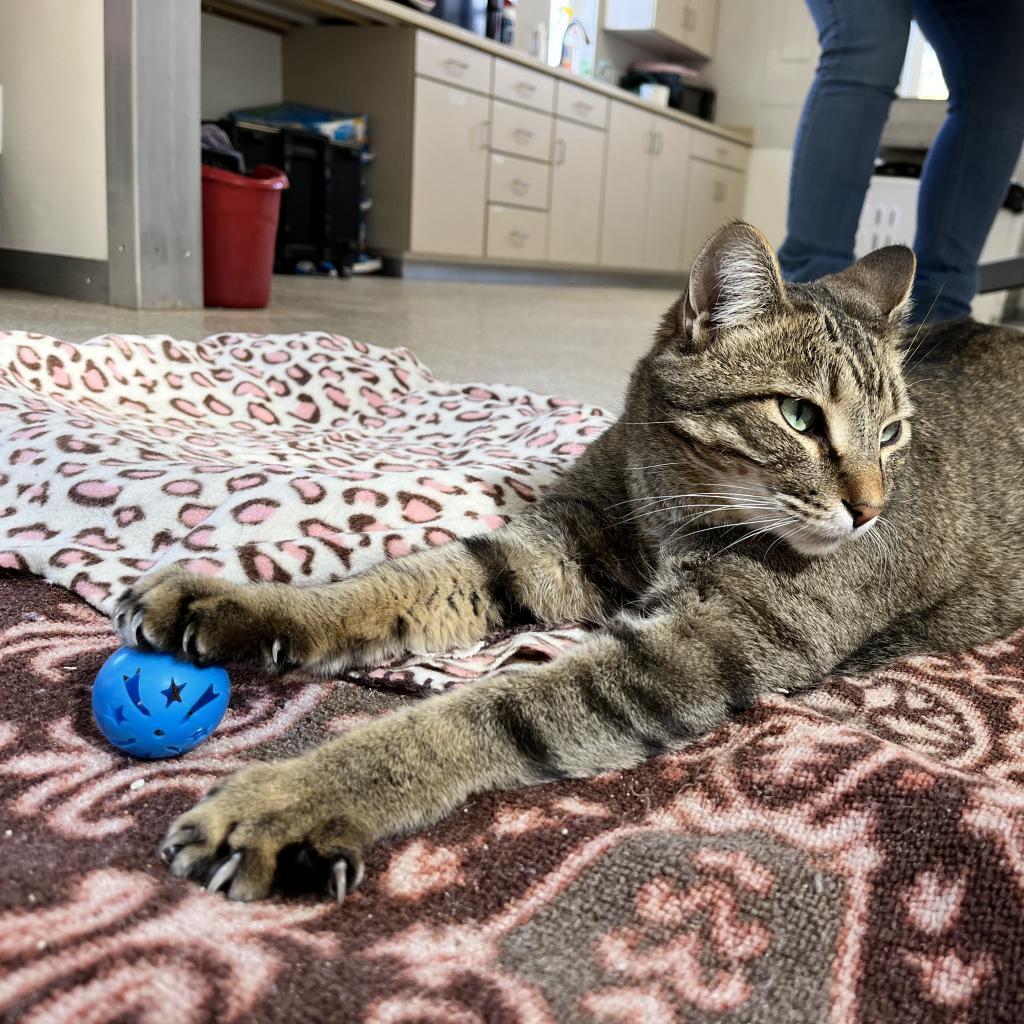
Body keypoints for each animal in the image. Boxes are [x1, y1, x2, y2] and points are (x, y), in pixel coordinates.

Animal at [112, 224, 1024, 905]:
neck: (669, 496)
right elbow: (397, 580)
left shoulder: (700, 645)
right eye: (800, 416)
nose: (870, 510)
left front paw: (297, 798)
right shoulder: (553, 549)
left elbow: (491, 708)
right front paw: (245, 604)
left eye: (894, 434)